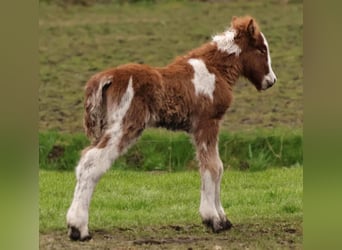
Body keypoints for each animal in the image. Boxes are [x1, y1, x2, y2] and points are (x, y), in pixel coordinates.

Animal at [66, 15, 276, 240]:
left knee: (85, 161)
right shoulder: (207, 123)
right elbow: (212, 167)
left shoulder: (204, 127)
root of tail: (106, 78)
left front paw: (223, 219)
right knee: (92, 162)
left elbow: (218, 167)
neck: (214, 70)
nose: (271, 81)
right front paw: (213, 220)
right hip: (124, 125)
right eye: (261, 49)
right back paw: (79, 229)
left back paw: (74, 225)